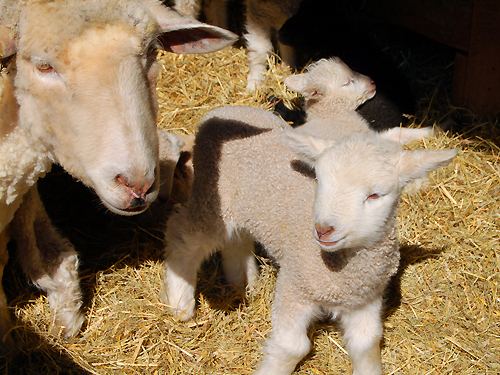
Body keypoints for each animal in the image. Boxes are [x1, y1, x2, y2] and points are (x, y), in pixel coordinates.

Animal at [161, 106, 458, 375]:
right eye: (320, 180)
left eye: (374, 195)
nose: (323, 229)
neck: (342, 272)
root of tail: (221, 111)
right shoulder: (295, 288)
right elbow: (293, 347)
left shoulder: (365, 298)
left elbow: (367, 343)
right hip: (213, 200)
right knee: (182, 237)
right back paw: (181, 304)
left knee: (236, 239)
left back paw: (244, 282)